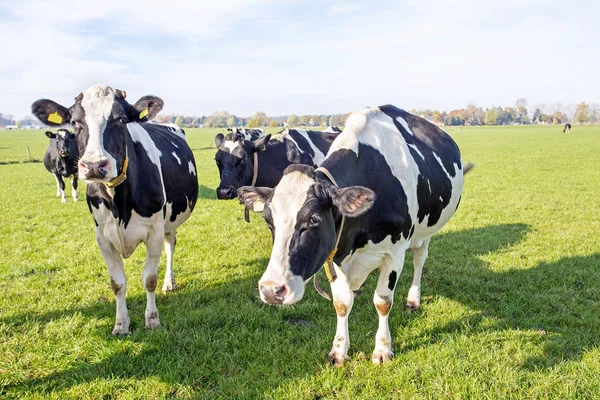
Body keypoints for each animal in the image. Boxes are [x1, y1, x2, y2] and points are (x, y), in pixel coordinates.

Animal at [32, 83, 199, 334]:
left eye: (121, 120)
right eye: (75, 122)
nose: (94, 165)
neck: (119, 203)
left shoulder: (154, 231)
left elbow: (149, 278)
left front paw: (152, 319)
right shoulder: (102, 236)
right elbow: (117, 283)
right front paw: (121, 324)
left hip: (170, 220)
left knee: (170, 247)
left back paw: (169, 282)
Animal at [238, 105, 474, 366]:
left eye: (314, 220)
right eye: (269, 221)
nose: (271, 290)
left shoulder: (394, 252)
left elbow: (383, 301)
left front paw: (382, 350)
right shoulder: (335, 255)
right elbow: (342, 303)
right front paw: (339, 351)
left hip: (426, 229)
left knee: (419, 260)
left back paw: (414, 299)